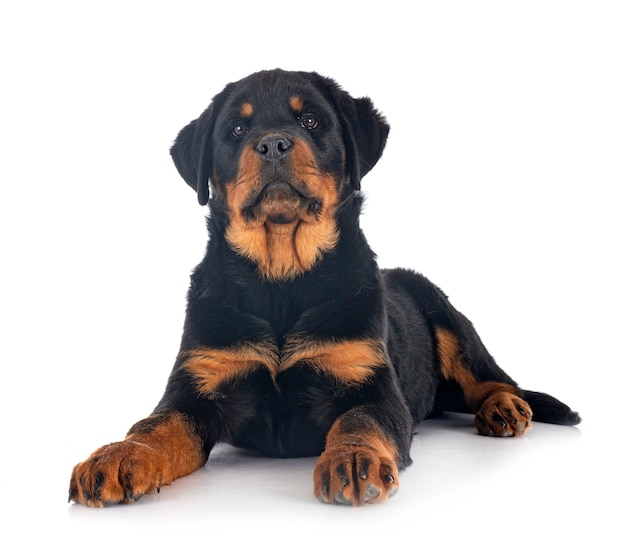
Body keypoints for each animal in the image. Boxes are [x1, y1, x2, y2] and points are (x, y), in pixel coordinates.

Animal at [69, 69, 580, 508]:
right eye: (236, 129)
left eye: (311, 120)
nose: (272, 143)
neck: (279, 281)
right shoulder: (198, 385)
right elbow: (154, 425)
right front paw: (116, 456)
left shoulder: (367, 382)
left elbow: (359, 420)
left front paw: (353, 459)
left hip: (447, 314)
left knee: (491, 377)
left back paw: (504, 408)